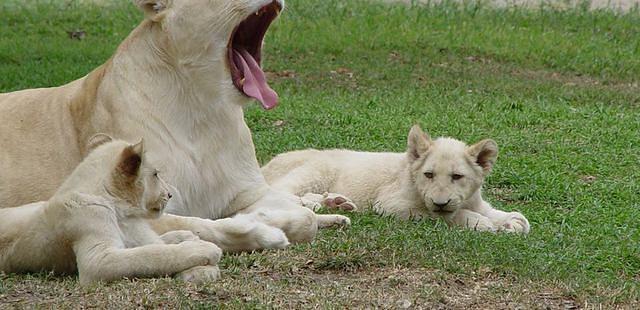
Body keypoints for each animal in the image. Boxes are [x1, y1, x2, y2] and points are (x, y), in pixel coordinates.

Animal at [0, 0, 350, 248]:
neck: (204, 108)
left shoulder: (245, 191)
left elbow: (300, 215)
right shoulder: (153, 205)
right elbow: (204, 224)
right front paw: (264, 227)